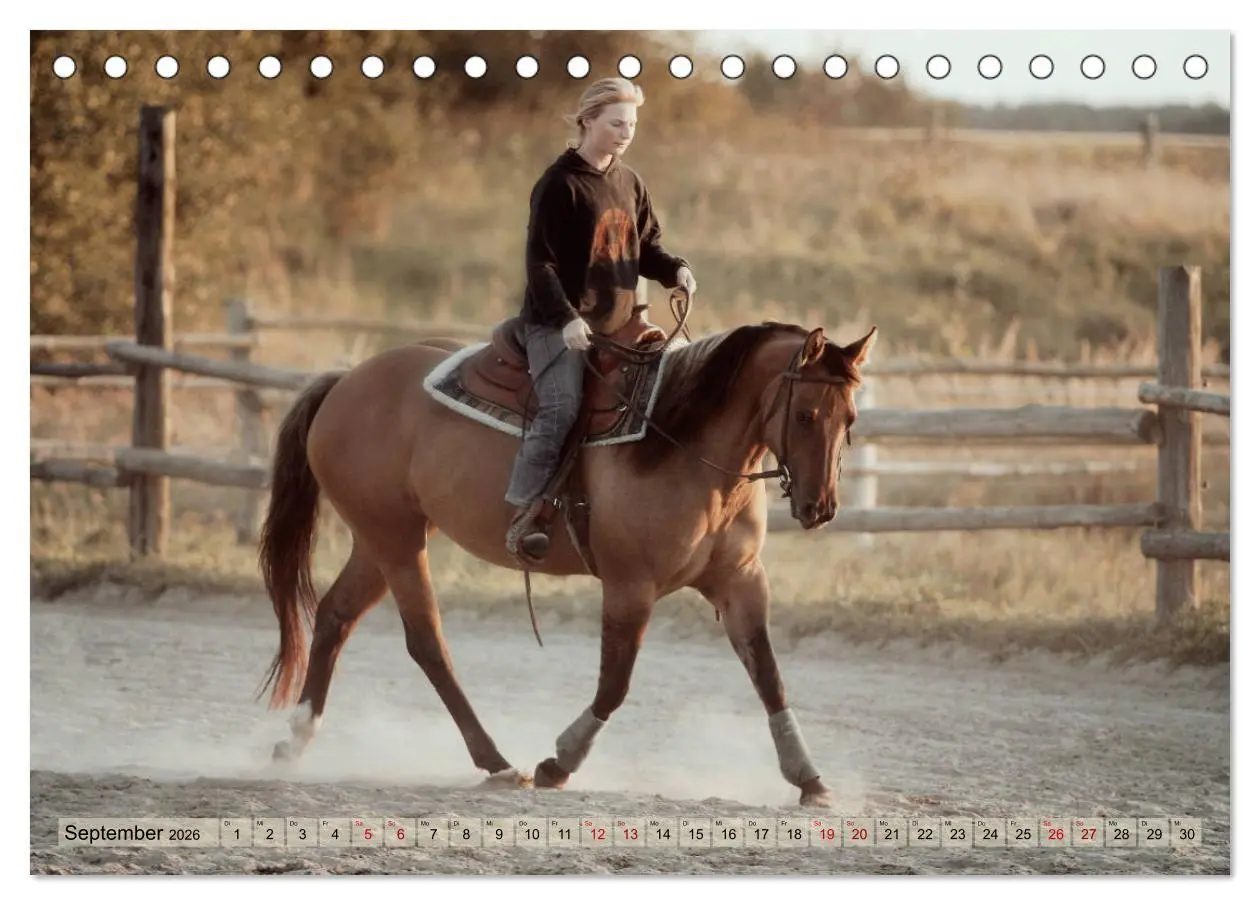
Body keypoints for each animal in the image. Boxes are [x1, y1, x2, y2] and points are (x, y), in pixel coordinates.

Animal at [255, 311, 876, 807]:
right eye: (805, 416)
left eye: (850, 419)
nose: (821, 507)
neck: (681, 442)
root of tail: (345, 382)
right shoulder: (630, 586)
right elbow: (615, 683)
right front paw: (558, 763)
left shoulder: (741, 581)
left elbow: (769, 676)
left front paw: (810, 779)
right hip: (396, 541)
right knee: (427, 642)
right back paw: (497, 762)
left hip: (382, 537)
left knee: (336, 616)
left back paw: (294, 741)